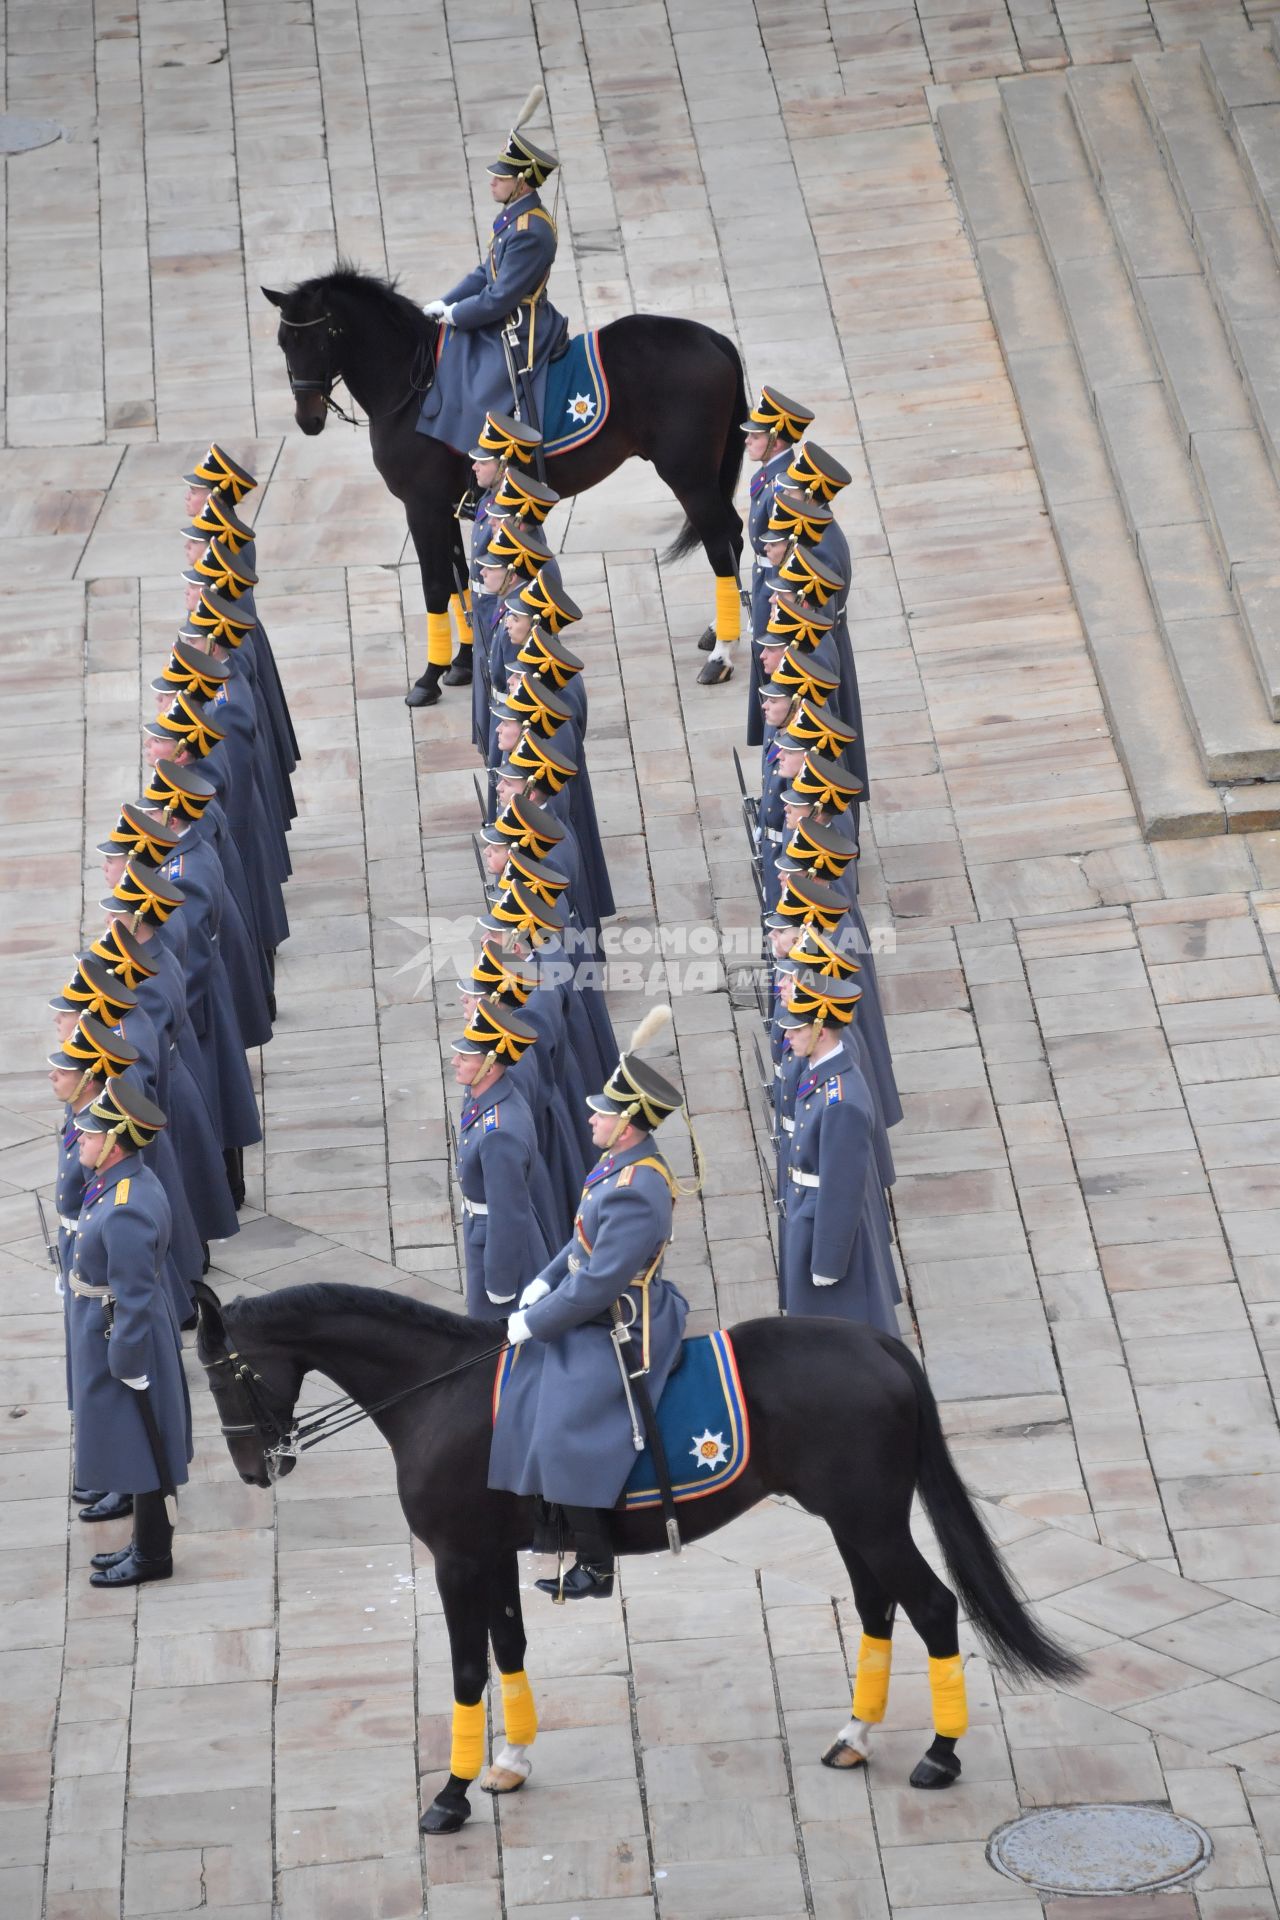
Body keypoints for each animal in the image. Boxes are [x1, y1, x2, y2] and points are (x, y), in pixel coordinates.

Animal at [197, 1282, 1082, 1835]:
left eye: (224, 1377)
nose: (251, 1470)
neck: (436, 1391)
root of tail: (879, 1343)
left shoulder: (456, 1557)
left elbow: (467, 1669)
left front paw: (449, 1797)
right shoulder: (490, 1554)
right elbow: (509, 1648)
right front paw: (509, 1762)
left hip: (870, 1521)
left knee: (932, 1607)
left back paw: (939, 1755)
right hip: (854, 1521)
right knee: (877, 1607)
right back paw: (856, 1736)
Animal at [260, 274, 752, 710]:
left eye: (321, 340)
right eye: (283, 342)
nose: (307, 419)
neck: (412, 386)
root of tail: (712, 338)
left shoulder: (422, 506)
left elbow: (436, 584)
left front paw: (428, 678)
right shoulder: (444, 505)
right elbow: (460, 579)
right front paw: (462, 662)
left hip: (688, 475)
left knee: (718, 542)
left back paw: (721, 656)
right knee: (732, 532)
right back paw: (719, 630)